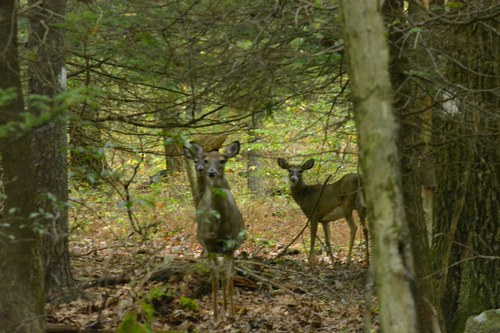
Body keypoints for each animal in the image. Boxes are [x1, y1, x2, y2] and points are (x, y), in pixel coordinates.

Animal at [185, 139, 247, 320]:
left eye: (223, 160)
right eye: (205, 160)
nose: (211, 173)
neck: (221, 228)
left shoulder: (231, 246)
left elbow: (229, 277)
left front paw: (231, 313)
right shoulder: (209, 245)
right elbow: (213, 278)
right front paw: (215, 315)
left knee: (226, 274)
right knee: (218, 274)